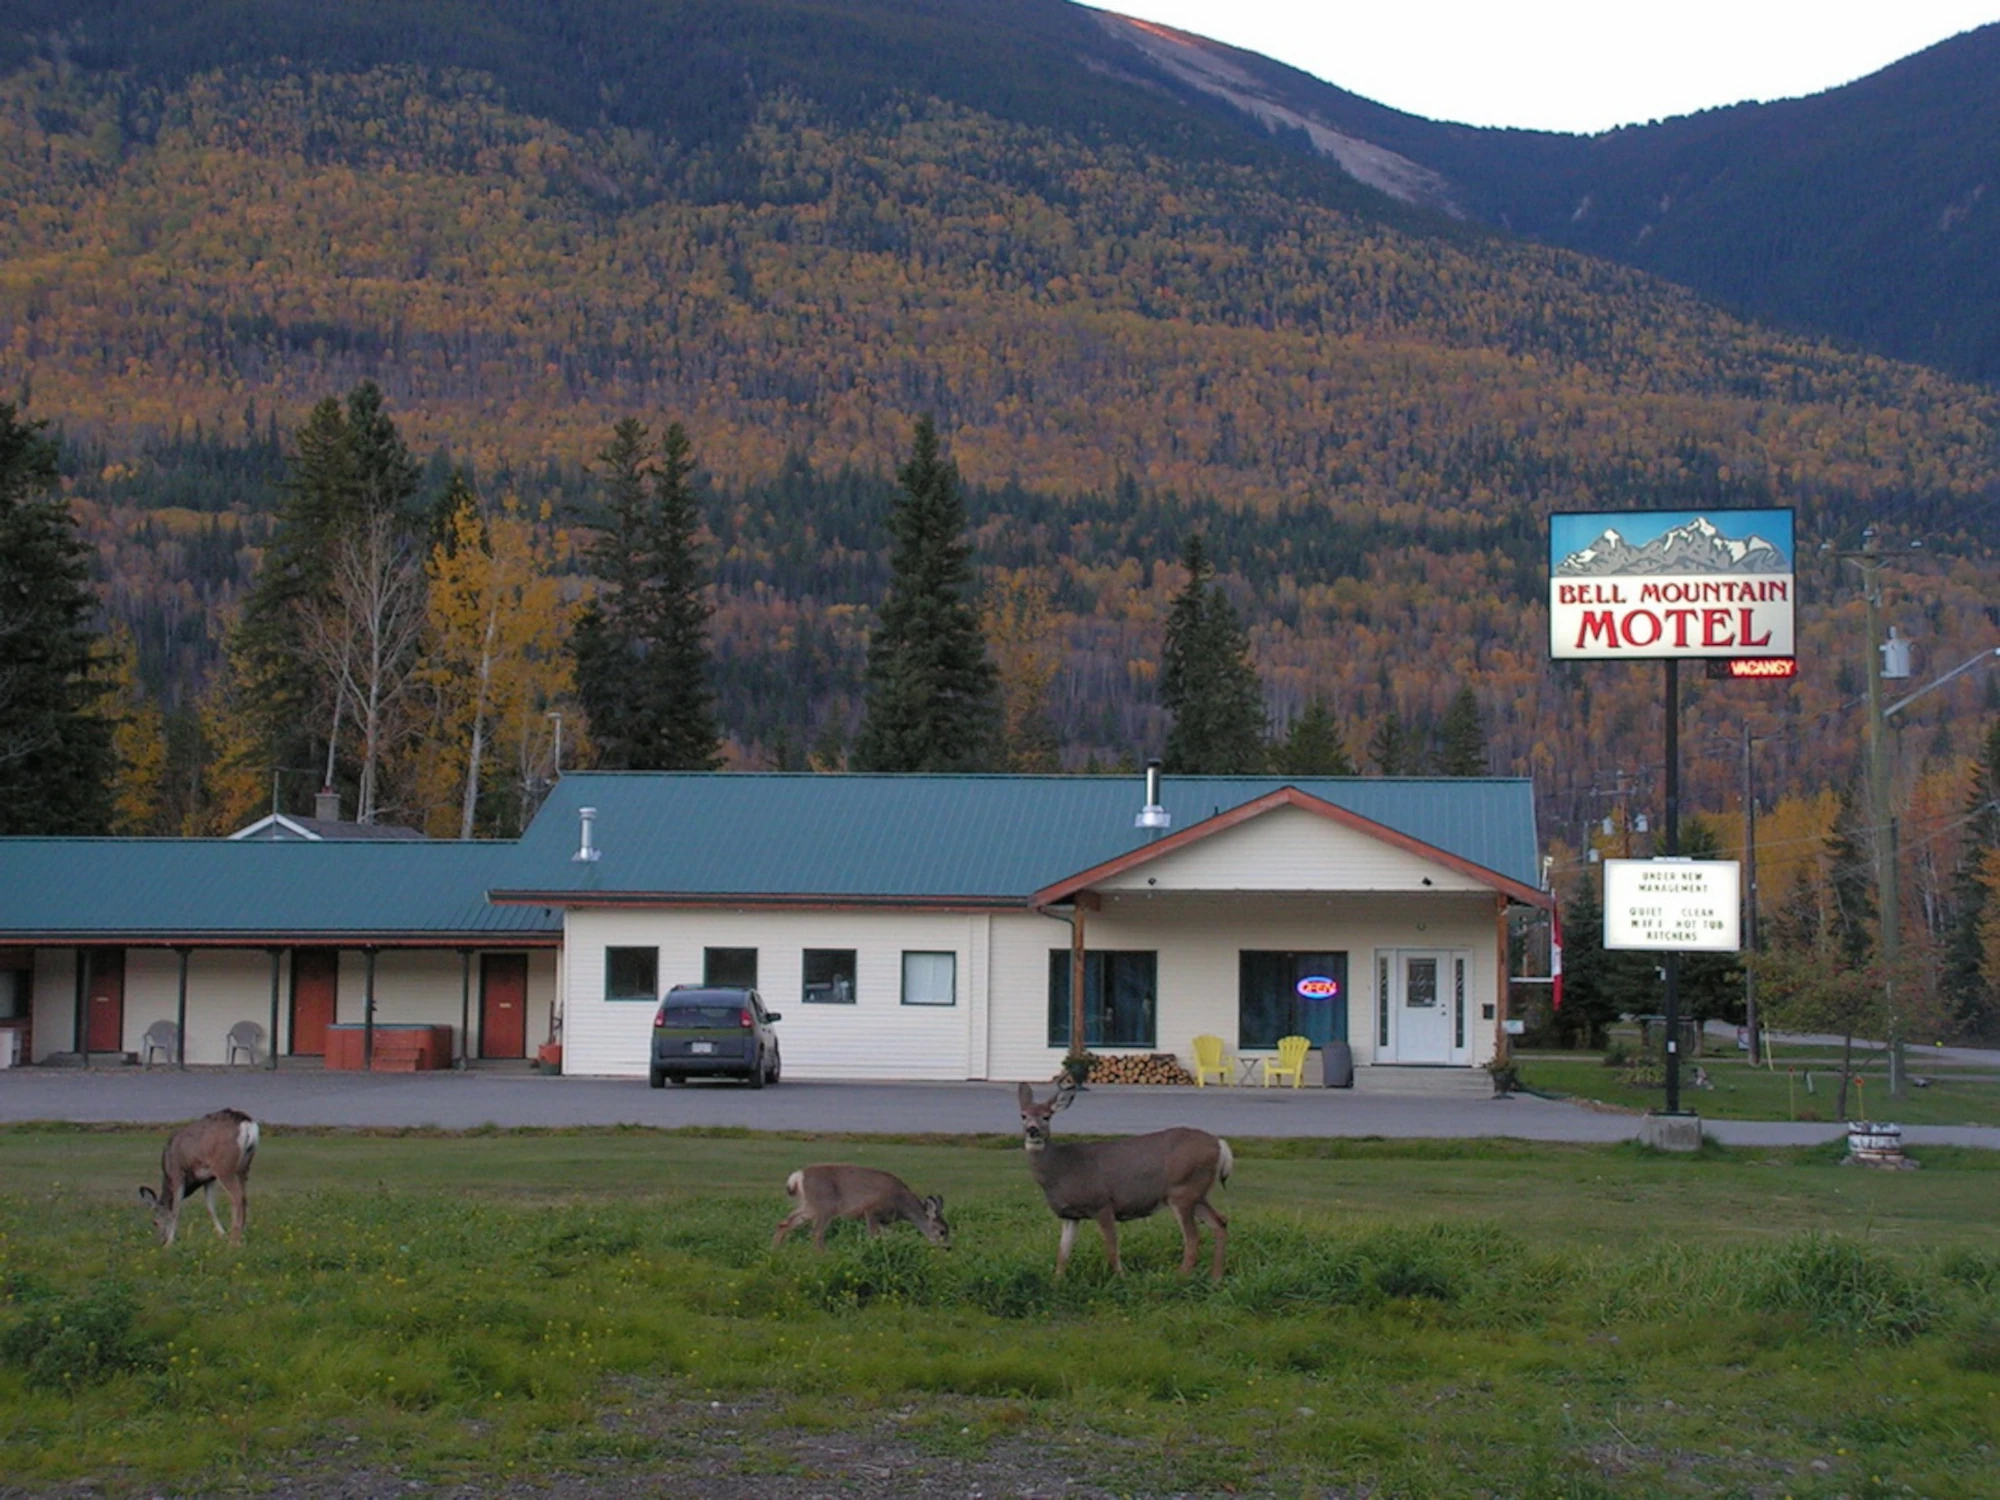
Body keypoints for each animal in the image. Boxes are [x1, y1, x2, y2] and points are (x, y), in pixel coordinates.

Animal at [139, 1112, 260, 1248]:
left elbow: (176, 1209)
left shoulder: (177, 1173)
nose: (161, 1240)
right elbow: (210, 1207)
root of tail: (247, 1123)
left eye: (154, 1222)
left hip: (224, 1167)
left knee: (237, 1198)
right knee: (244, 1197)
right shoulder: (209, 1178)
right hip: (244, 1167)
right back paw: (241, 1235)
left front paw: (170, 1243)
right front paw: (222, 1235)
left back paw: (234, 1241)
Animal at [768, 1160, 948, 1256]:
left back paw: (776, 1250)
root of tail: (798, 1176)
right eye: (942, 1231)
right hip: (825, 1206)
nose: (948, 1248)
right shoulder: (871, 1210)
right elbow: (872, 1237)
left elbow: (887, 1238)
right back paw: (825, 1255)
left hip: (809, 1207)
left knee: (784, 1223)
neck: (901, 1205)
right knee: (816, 1233)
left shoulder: (885, 1222)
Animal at [1016, 1080, 1232, 1280]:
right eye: (1023, 1115)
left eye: (1046, 1116)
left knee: (1193, 1237)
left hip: (1182, 1191)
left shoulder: (1102, 1204)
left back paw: (1178, 1278)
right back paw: (1216, 1278)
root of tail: (1220, 1144)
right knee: (1219, 1223)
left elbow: (1112, 1248)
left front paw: (1121, 1279)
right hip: (1196, 1193)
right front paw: (1057, 1282)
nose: (1032, 1130)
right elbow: (1062, 1254)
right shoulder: (1070, 1215)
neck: (1060, 1171)